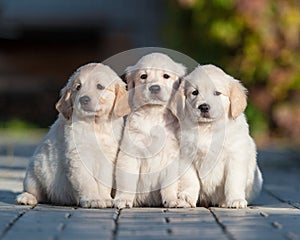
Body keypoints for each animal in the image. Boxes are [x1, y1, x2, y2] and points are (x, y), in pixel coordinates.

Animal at [16, 62, 129, 207]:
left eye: (100, 86)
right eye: (78, 87)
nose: (84, 99)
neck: (95, 125)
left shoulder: (108, 157)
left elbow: (104, 181)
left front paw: (105, 198)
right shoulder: (78, 156)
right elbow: (87, 182)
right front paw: (93, 199)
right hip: (35, 171)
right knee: (34, 190)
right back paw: (26, 198)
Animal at [113, 52, 186, 208]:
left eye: (166, 76)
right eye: (143, 76)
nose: (154, 88)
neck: (153, 114)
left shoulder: (171, 154)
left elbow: (169, 183)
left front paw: (172, 199)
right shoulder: (131, 153)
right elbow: (127, 180)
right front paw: (123, 199)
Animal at [173, 64, 262, 207]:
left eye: (217, 93)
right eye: (195, 92)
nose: (204, 107)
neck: (207, 129)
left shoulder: (235, 156)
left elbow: (233, 181)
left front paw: (235, 200)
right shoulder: (186, 155)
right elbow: (191, 180)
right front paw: (186, 198)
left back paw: (224, 202)